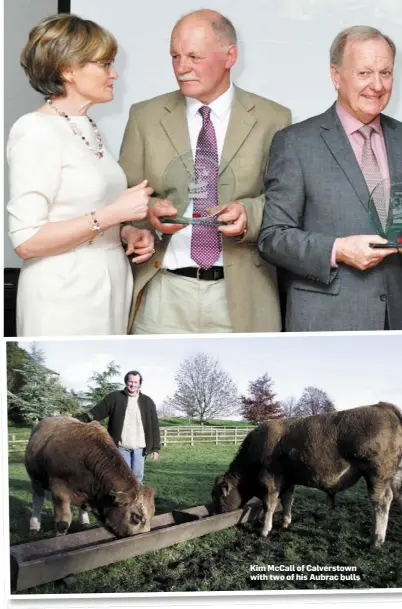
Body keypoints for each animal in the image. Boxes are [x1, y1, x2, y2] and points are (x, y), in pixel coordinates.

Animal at [24, 414, 154, 536]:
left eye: (153, 514)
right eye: (136, 516)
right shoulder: (58, 491)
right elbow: (62, 524)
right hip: (35, 479)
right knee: (38, 499)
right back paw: (34, 526)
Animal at [212, 404, 402, 548]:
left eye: (218, 496)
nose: (217, 513)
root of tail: (384, 406)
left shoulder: (270, 479)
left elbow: (269, 504)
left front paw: (265, 530)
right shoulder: (288, 479)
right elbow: (287, 500)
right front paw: (286, 522)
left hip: (377, 474)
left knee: (381, 502)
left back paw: (376, 539)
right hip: (393, 476)